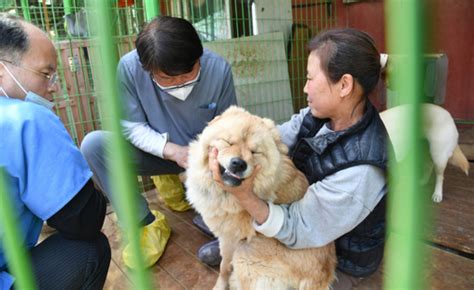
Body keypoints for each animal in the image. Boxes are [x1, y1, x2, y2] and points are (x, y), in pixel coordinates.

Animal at [183, 107, 336, 290]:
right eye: (228, 142)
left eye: (254, 152)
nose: (239, 163)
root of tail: (321, 280)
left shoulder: (229, 238)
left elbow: (224, 267)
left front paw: (219, 285)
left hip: (245, 254)